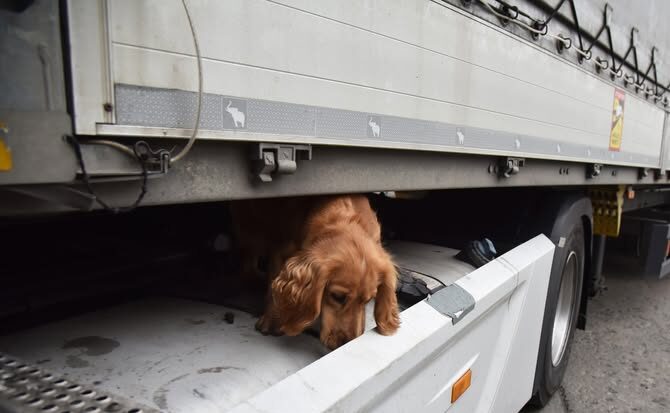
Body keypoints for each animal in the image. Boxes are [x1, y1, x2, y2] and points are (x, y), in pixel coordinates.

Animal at [232, 195, 400, 350]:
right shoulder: (279, 252)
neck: (345, 220)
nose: (345, 344)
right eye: (337, 296)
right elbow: (272, 291)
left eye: (369, 300)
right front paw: (270, 321)